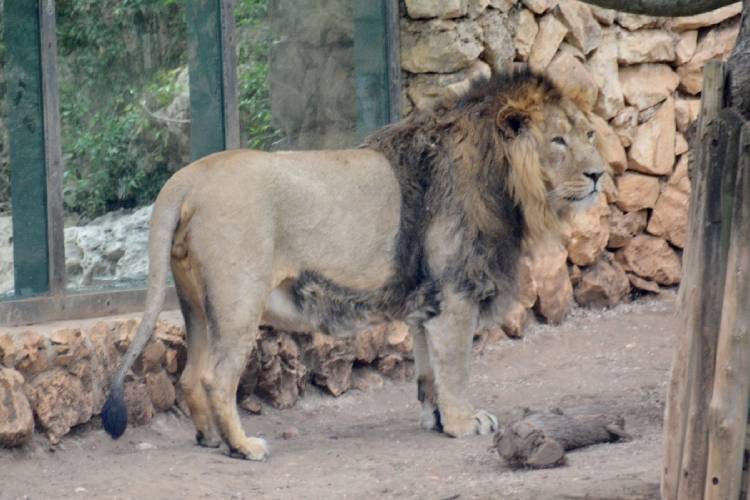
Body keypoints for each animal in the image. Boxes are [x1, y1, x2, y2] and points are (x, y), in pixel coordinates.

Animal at [101, 68, 604, 458]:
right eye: (558, 140)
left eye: (589, 134)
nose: (600, 173)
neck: (506, 181)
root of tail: (186, 177)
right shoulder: (455, 295)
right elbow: (456, 367)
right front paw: (465, 423)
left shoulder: (426, 303)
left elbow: (428, 371)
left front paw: (438, 420)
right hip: (238, 300)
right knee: (215, 377)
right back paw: (243, 447)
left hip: (197, 305)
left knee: (189, 376)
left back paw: (210, 440)